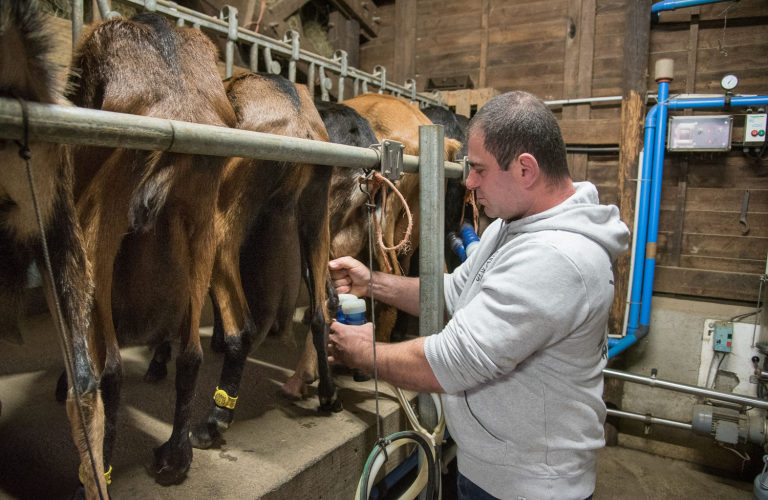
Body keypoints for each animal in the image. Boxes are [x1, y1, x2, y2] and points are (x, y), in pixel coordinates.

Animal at [69, 12, 237, 488]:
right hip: (204, 229)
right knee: (191, 356)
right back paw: (176, 457)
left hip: (100, 230)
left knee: (110, 371)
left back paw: (100, 470)